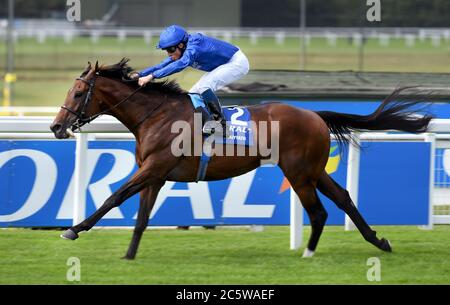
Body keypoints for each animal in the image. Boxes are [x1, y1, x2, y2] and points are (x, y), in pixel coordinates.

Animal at [49, 58, 432, 258]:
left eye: (79, 93)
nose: (55, 126)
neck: (155, 116)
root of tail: (314, 114)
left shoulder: (153, 167)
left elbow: (112, 198)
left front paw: (74, 230)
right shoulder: (155, 174)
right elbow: (141, 217)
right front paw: (129, 256)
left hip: (298, 172)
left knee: (319, 211)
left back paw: (308, 253)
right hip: (313, 170)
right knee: (343, 198)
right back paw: (379, 241)